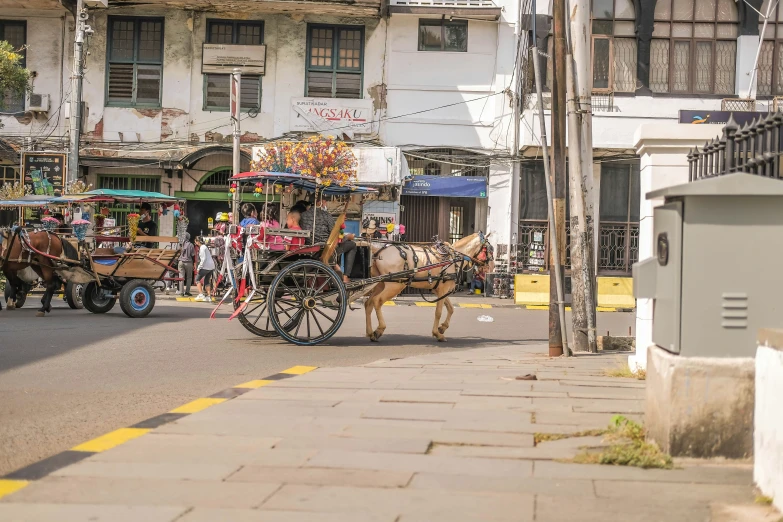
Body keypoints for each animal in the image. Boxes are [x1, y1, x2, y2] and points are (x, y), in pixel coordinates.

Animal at [364, 232, 494, 342]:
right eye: (490, 249)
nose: (492, 267)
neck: (454, 258)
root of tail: (377, 251)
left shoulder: (440, 290)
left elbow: (451, 309)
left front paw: (442, 328)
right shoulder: (443, 290)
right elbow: (439, 312)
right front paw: (437, 334)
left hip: (379, 283)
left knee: (368, 303)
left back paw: (370, 332)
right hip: (395, 285)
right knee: (377, 301)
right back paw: (379, 329)